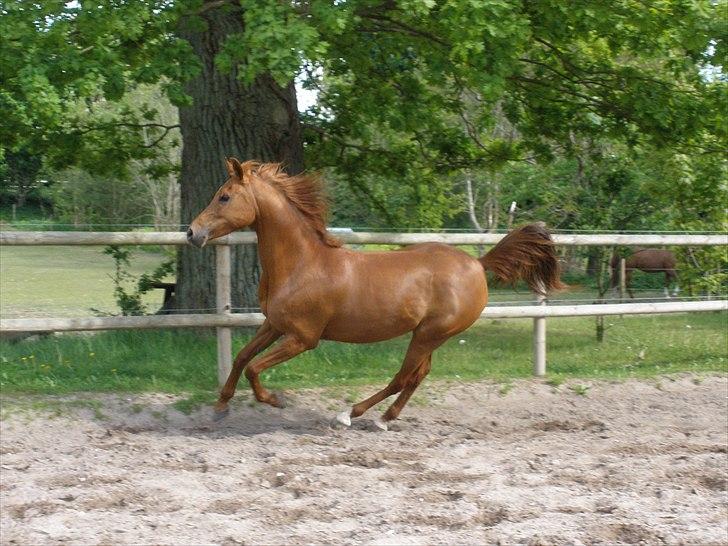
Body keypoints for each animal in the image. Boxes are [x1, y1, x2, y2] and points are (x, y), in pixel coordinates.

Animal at [189, 158, 564, 430]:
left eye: (224, 196)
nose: (193, 233)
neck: (302, 263)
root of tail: (477, 263)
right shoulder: (274, 324)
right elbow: (241, 358)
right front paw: (220, 407)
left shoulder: (303, 338)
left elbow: (254, 368)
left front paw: (276, 400)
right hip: (429, 335)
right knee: (418, 376)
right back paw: (385, 418)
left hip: (430, 333)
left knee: (403, 377)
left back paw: (351, 414)